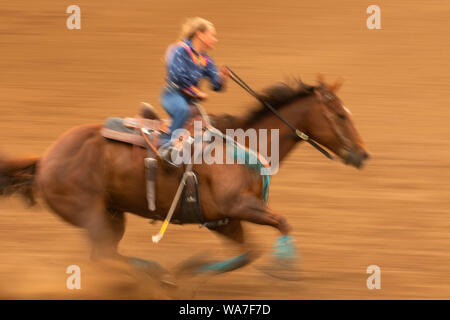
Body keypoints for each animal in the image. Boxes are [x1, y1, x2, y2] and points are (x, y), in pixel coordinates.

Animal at [0, 77, 370, 284]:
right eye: (340, 115)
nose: (363, 154)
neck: (244, 147)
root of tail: (45, 159)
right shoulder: (241, 207)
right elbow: (283, 223)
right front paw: (284, 269)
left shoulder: (225, 220)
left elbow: (248, 254)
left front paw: (191, 269)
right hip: (90, 213)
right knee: (104, 256)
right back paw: (155, 275)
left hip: (112, 214)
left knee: (104, 255)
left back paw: (159, 275)